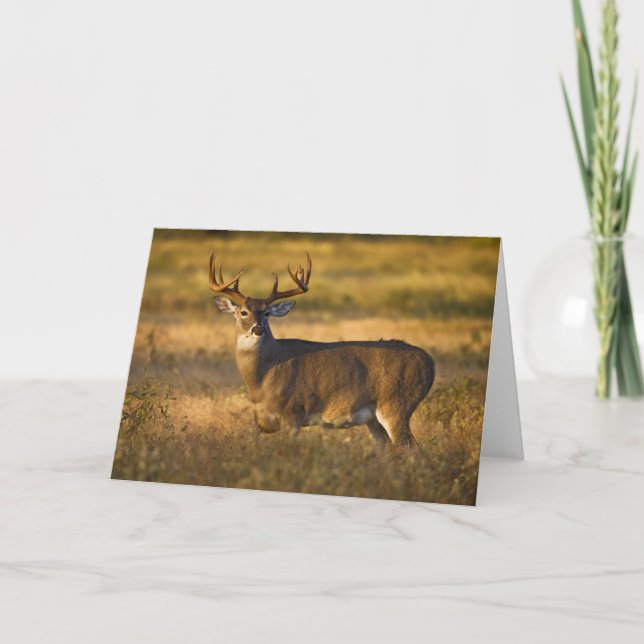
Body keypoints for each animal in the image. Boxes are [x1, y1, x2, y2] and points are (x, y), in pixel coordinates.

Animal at [210, 251, 435, 446]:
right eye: (243, 312)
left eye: (267, 313)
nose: (258, 328)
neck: (263, 378)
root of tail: (430, 363)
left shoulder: (292, 412)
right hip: (374, 420)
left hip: (397, 404)